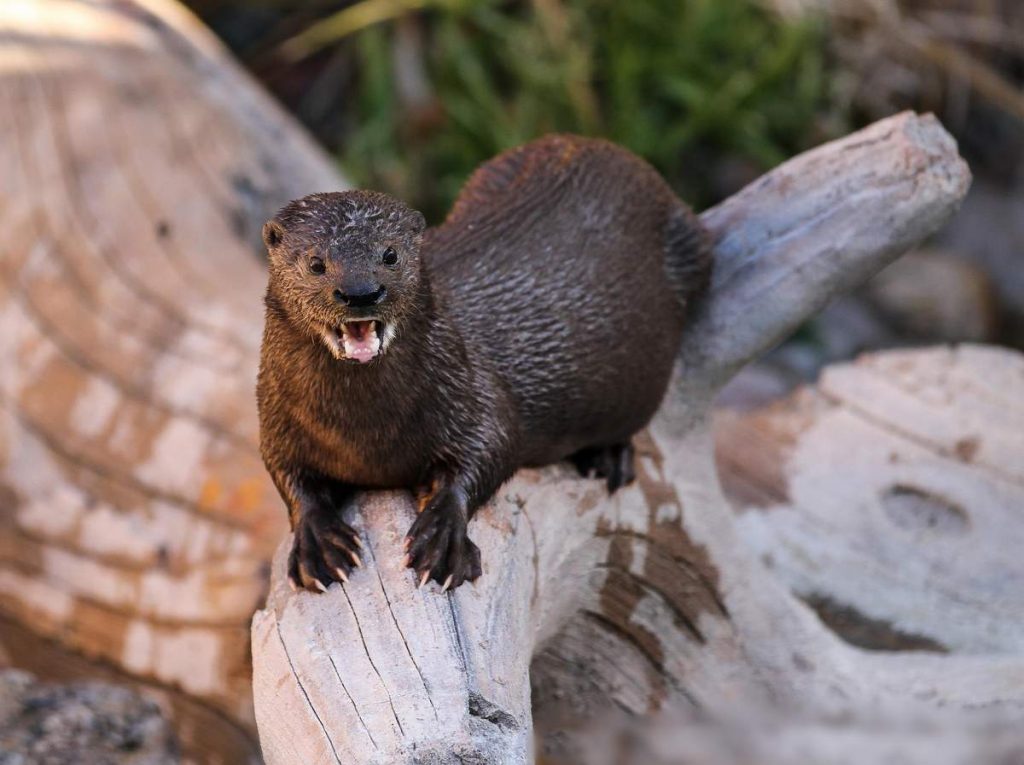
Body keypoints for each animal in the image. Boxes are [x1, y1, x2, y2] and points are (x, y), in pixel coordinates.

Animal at [256, 136, 712, 593]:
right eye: (316, 263)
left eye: (390, 255)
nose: (360, 292)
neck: (363, 434)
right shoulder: (275, 416)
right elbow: (285, 473)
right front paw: (318, 544)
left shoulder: (473, 391)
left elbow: (493, 448)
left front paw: (443, 539)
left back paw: (608, 458)